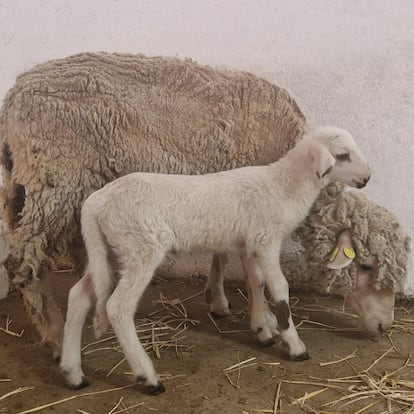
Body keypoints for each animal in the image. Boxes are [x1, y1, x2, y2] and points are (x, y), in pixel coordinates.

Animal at [0, 51, 308, 356]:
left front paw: (219, 300)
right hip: (56, 179)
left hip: (35, 188)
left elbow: (221, 253)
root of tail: (13, 97)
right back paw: (54, 335)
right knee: (23, 261)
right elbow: (252, 271)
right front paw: (264, 321)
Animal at [59, 126, 372, 394]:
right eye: (342, 155)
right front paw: (294, 344)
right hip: (141, 246)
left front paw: (262, 329)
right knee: (118, 307)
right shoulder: (266, 239)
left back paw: (73, 373)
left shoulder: (249, 243)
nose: (367, 178)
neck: (283, 186)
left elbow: (256, 283)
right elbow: (279, 289)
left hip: (109, 250)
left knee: (78, 296)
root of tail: (96, 202)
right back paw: (148, 376)